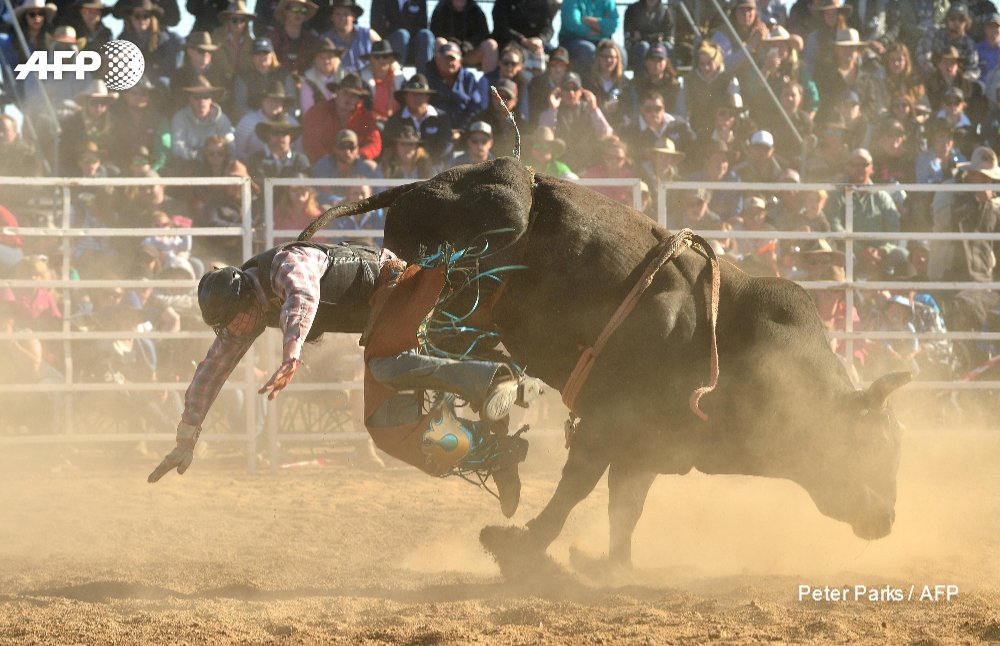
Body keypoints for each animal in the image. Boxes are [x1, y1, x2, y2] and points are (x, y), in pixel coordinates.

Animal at [300, 159, 912, 576]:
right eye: (870, 444)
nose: (886, 520)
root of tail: (426, 184)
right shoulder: (607, 425)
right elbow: (575, 489)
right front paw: (522, 547)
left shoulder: (648, 447)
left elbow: (626, 507)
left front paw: (612, 565)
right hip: (464, 263)